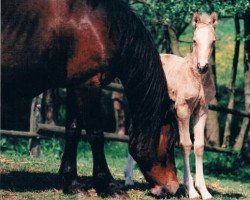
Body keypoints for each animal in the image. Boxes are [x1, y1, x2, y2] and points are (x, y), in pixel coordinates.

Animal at [161, 12, 216, 198]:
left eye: (213, 41)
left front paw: (204, 191)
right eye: (194, 40)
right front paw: (191, 190)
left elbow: (198, 146)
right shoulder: (183, 109)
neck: (197, 79)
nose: (203, 67)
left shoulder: (202, 110)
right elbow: (185, 144)